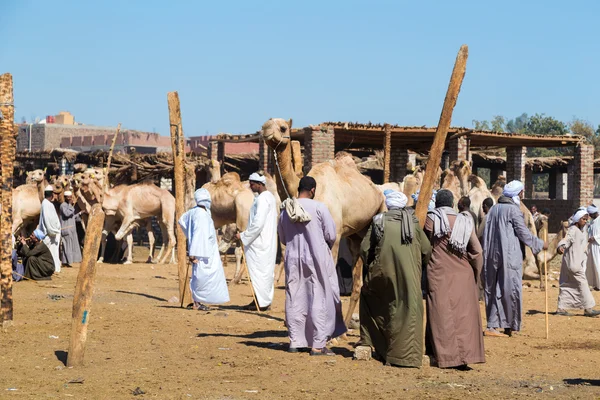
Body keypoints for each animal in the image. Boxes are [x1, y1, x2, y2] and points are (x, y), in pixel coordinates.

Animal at [262, 117, 384, 324]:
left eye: (283, 127)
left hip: (380, 210)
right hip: (356, 236)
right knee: (357, 277)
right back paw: (348, 325)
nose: (265, 130)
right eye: (264, 124)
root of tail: (376, 189)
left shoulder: (334, 237)